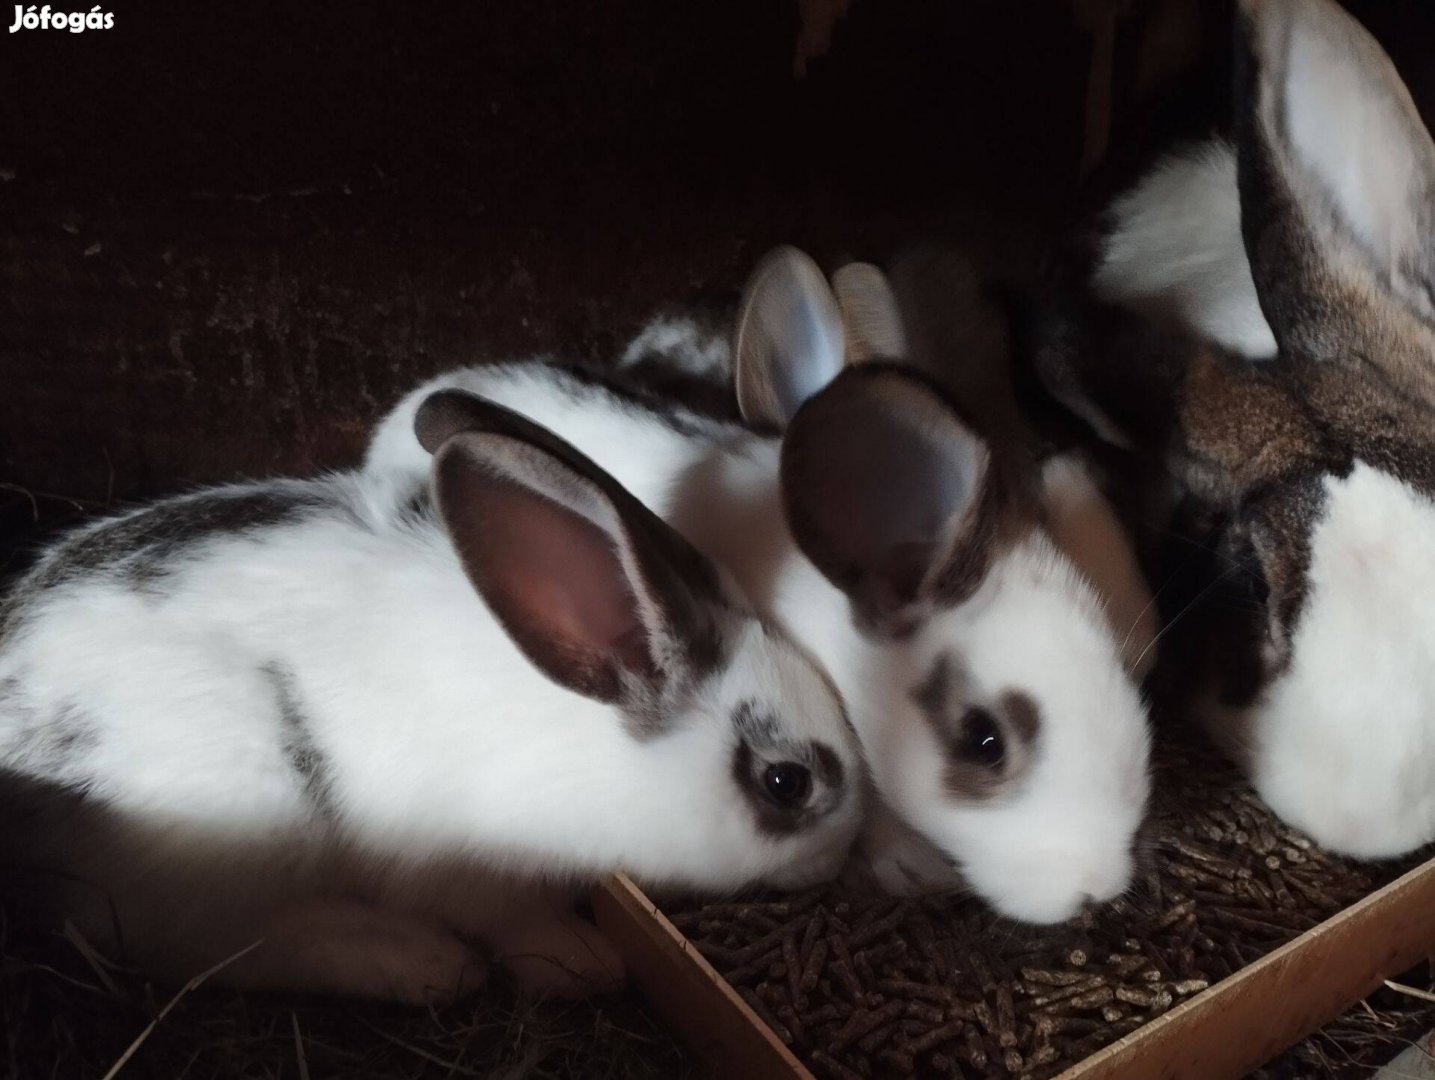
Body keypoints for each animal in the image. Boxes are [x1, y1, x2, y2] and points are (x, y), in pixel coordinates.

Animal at [0, 394, 865, 1003]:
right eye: (786, 781)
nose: (837, 862)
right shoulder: (476, 870)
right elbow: (512, 921)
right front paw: (582, 962)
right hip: (241, 804)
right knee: (199, 940)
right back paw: (421, 964)